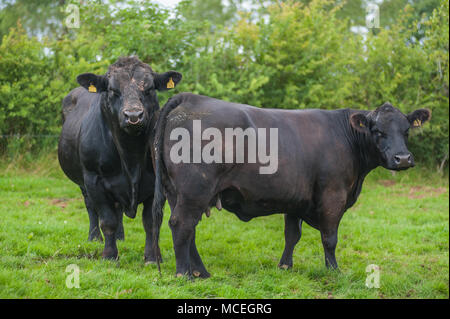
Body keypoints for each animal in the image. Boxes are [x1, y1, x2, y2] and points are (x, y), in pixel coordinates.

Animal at [58, 56, 181, 262]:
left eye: (149, 89)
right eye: (113, 90)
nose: (133, 115)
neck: (131, 158)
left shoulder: (157, 182)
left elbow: (150, 222)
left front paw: (152, 257)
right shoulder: (94, 179)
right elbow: (107, 220)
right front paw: (109, 255)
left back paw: (120, 237)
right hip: (84, 182)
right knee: (91, 207)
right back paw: (94, 237)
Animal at [152, 92, 432, 278]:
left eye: (406, 130)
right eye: (377, 131)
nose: (403, 158)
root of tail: (190, 98)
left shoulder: (296, 198)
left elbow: (292, 235)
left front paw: (285, 266)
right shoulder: (333, 195)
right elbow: (330, 238)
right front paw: (334, 271)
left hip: (178, 192)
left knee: (189, 231)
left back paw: (201, 272)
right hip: (194, 191)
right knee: (182, 226)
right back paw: (184, 274)